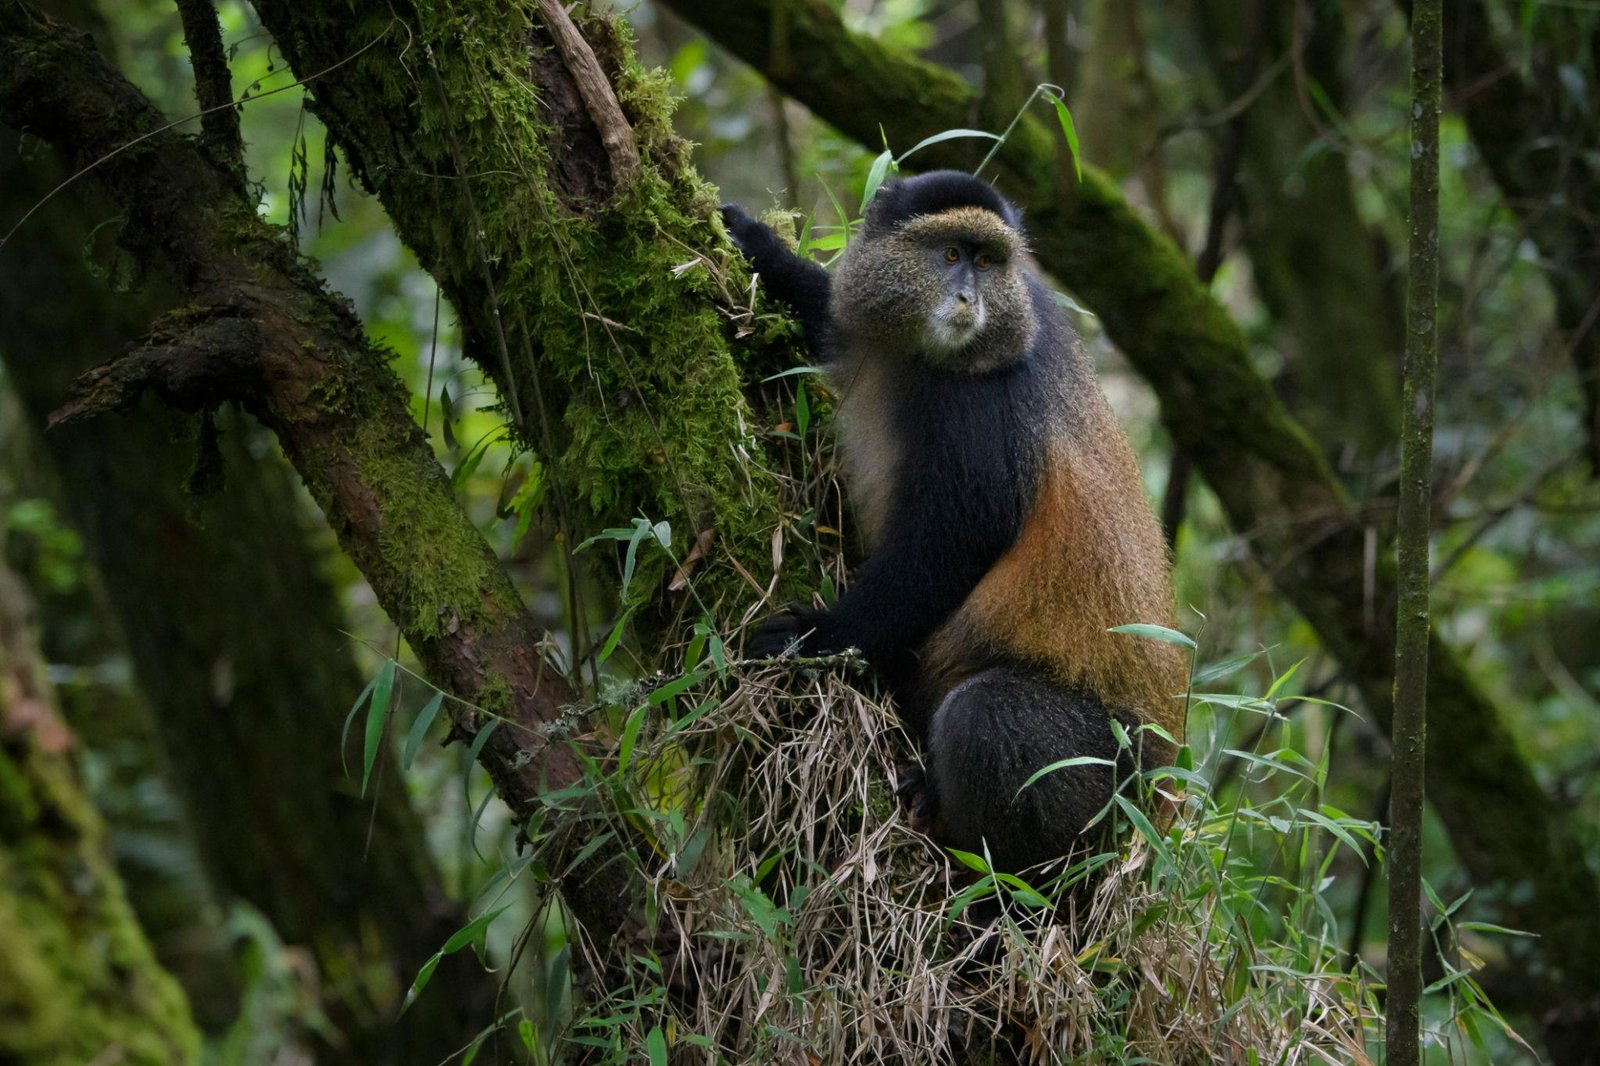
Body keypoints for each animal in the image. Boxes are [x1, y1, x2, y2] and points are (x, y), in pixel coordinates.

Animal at [722, 171, 1187, 874]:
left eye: (988, 261)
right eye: (949, 255)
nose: (969, 297)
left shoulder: (982, 415)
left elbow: (951, 545)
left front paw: (817, 639)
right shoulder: (867, 322)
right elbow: (830, 312)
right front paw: (757, 243)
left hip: (1110, 776)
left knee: (985, 715)